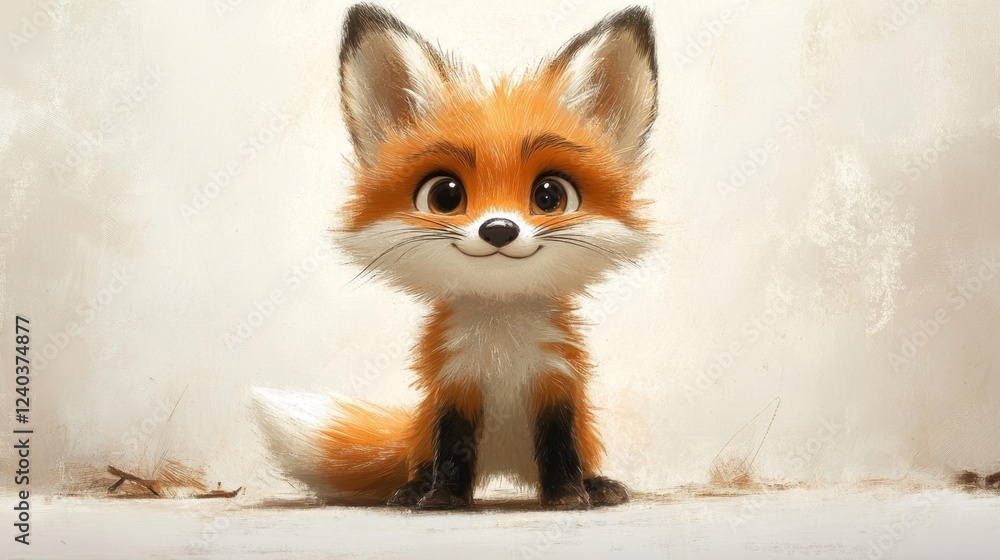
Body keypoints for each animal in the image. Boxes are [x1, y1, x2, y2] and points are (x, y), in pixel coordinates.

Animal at [252, 3, 657, 509]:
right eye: (444, 195)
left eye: (550, 196)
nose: (499, 229)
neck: (501, 340)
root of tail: (504, 468)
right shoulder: (455, 385)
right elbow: (452, 454)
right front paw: (443, 499)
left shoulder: (556, 383)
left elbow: (560, 451)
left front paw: (567, 498)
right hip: (424, 429)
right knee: (423, 461)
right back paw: (413, 488)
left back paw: (597, 485)